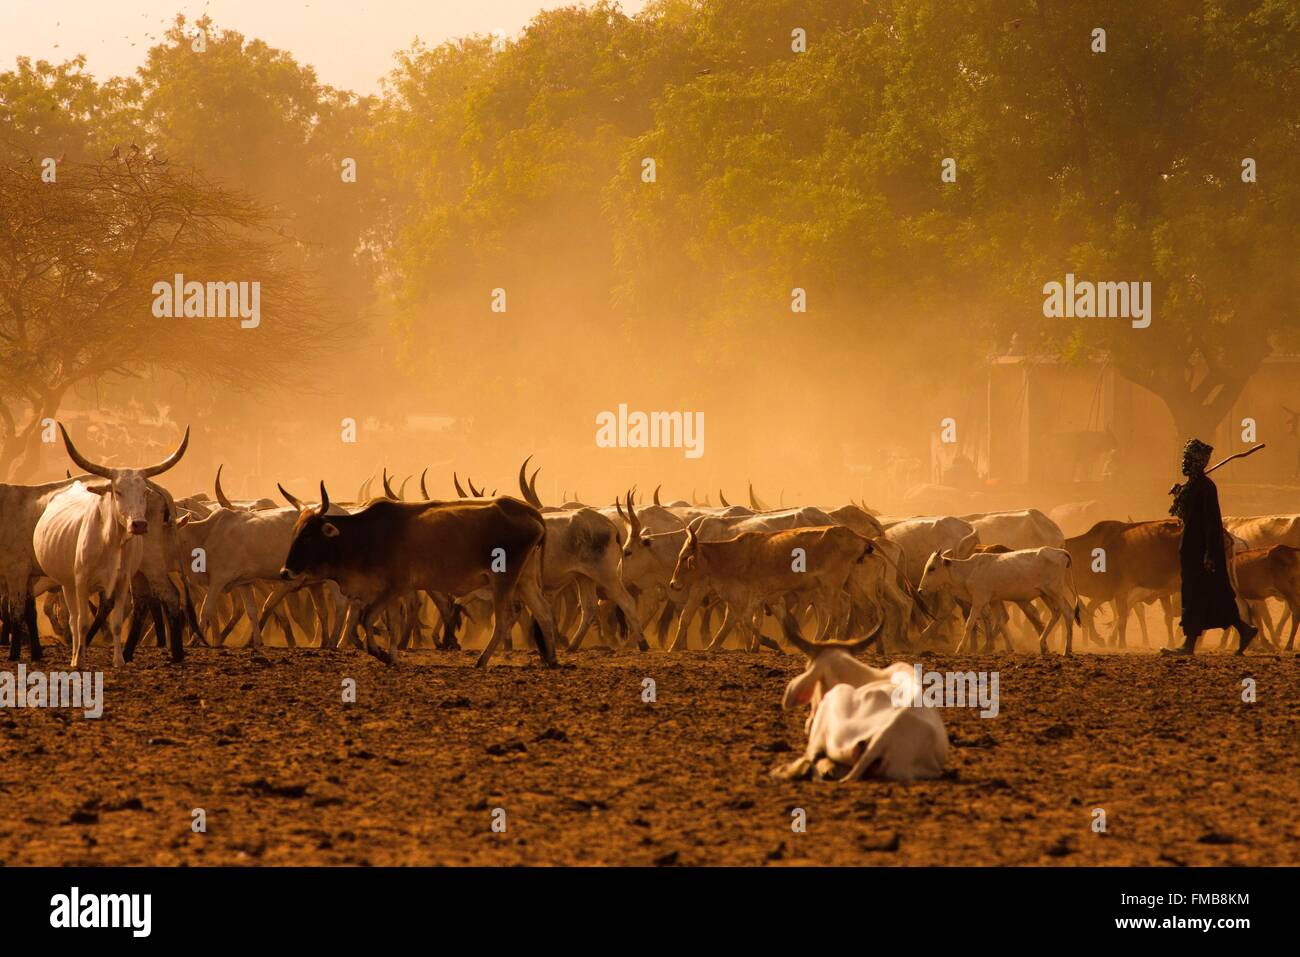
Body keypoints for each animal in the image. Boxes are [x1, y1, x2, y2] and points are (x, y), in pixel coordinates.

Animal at [32, 421, 188, 670]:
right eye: (118, 491)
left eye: (143, 492)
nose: (139, 524)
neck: (110, 540)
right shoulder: (81, 579)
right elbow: (82, 621)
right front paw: (80, 659)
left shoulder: (122, 580)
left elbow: (114, 620)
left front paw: (118, 660)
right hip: (73, 581)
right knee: (77, 619)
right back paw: (81, 654)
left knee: (167, 597)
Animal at [279, 481, 553, 670]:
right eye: (294, 531)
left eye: (308, 535)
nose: (284, 572)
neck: (366, 536)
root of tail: (529, 511)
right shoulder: (387, 593)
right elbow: (390, 624)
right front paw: (392, 656)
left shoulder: (394, 588)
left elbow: (367, 619)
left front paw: (381, 654)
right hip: (525, 580)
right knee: (543, 613)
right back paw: (552, 659)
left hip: (504, 580)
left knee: (505, 619)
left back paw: (482, 660)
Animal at [920, 548, 1081, 655]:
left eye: (932, 568)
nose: (920, 590)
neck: (968, 571)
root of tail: (1061, 552)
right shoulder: (994, 601)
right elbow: (1001, 621)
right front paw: (1009, 648)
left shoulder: (979, 600)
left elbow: (970, 623)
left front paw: (960, 648)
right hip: (1046, 594)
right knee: (1056, 613)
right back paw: (1042, 643)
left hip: (1055, 592)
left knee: (1068, 613)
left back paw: (1067, 649)